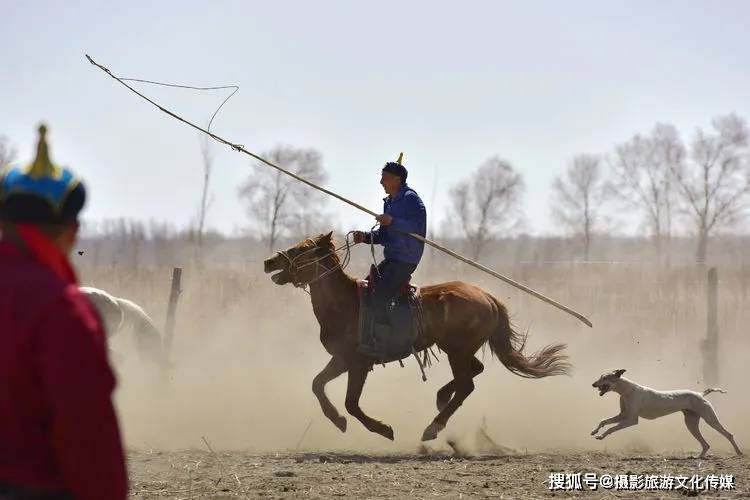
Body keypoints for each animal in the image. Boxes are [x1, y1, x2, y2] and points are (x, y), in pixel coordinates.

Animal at [264, 233, 568, 442]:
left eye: (301, 249)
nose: (269, 261)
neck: (346, 303)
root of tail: (488, 297)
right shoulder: (341, 359)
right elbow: (317, 384)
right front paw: (337, 420)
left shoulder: (358, 363)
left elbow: (351, 403)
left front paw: (383, 429)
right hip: (459, 349)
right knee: (473, 372)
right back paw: (441, 398)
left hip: (457, 350)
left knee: (466, 385)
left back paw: (433, 426)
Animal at [592, 368, 748, 458]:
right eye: (600, 376)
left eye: (605, 378)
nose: (593, 384)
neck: (627, 390)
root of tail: (700, 394)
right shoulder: (623, 415)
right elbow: (603, 421)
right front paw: (595, 432)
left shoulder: (631, 420)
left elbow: (612, 428)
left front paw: (601, 436)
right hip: (691, 424)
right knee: (706, 444)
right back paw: (699, 457)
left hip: (711, 420)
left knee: (728, 434)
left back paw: (738, 452)